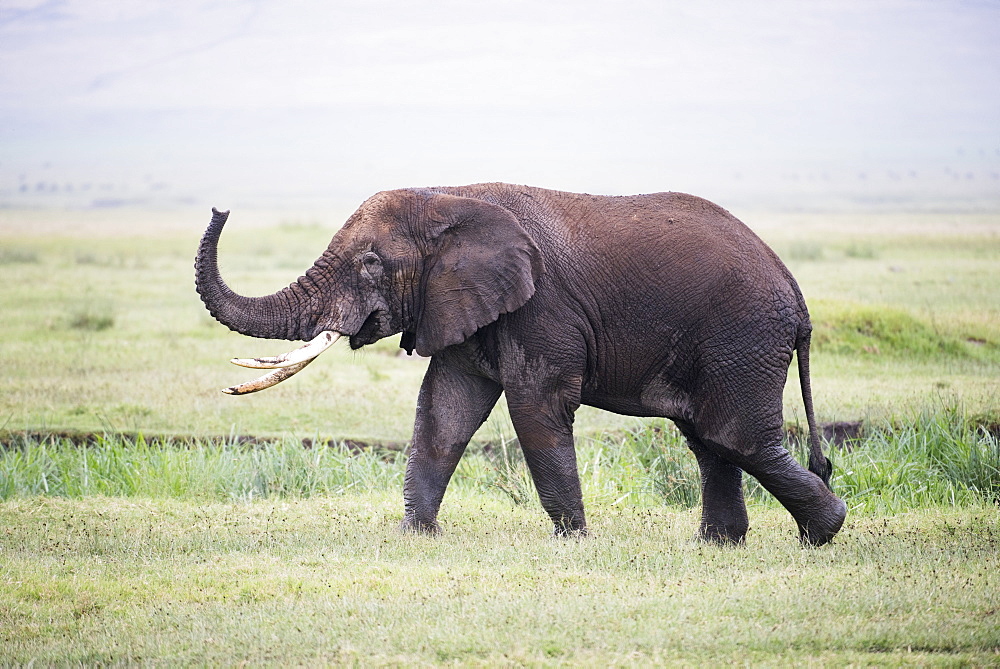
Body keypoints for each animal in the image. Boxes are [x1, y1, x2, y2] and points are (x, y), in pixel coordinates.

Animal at [197, 181, 852, 544]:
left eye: (370, 264)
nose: (222, 208)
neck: (447, 193)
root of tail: (798, 298)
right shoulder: (460, 302)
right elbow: (444, 411)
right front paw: (416, 537)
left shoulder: (542, 307)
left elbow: (536, 405)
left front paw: (574, 543)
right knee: (709, 439)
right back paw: (720, 547)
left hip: (742, 339)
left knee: (734, 437)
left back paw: (824, 533)